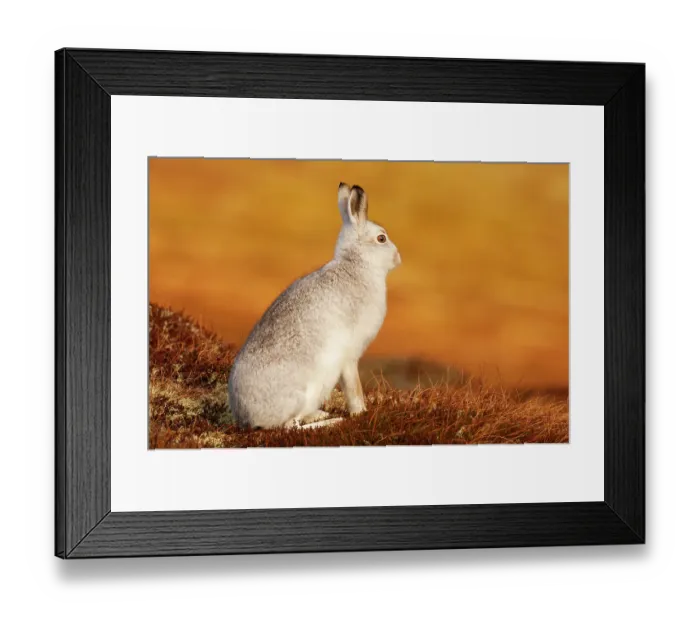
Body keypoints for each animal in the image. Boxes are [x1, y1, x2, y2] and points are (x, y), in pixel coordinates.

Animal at [227, 182, 402, 430]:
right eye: (381, 239)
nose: (398, 257)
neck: (356, 265)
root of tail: (247, 418)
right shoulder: (350, 355)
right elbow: (354, 388)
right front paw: (360, 413)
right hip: (303, 393)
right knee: (290, 426)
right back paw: (331, 421)